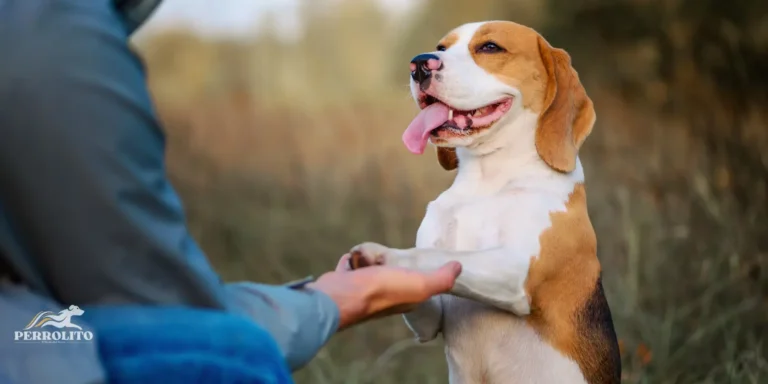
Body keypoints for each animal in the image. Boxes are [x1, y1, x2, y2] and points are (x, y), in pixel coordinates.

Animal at [352, 21, 620, 384]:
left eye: (490, 47)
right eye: (442, 47)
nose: (419, 64)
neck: (486, 181)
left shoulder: (517, 270)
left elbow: (437, 255)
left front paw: (384, 256)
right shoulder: (431, 319)